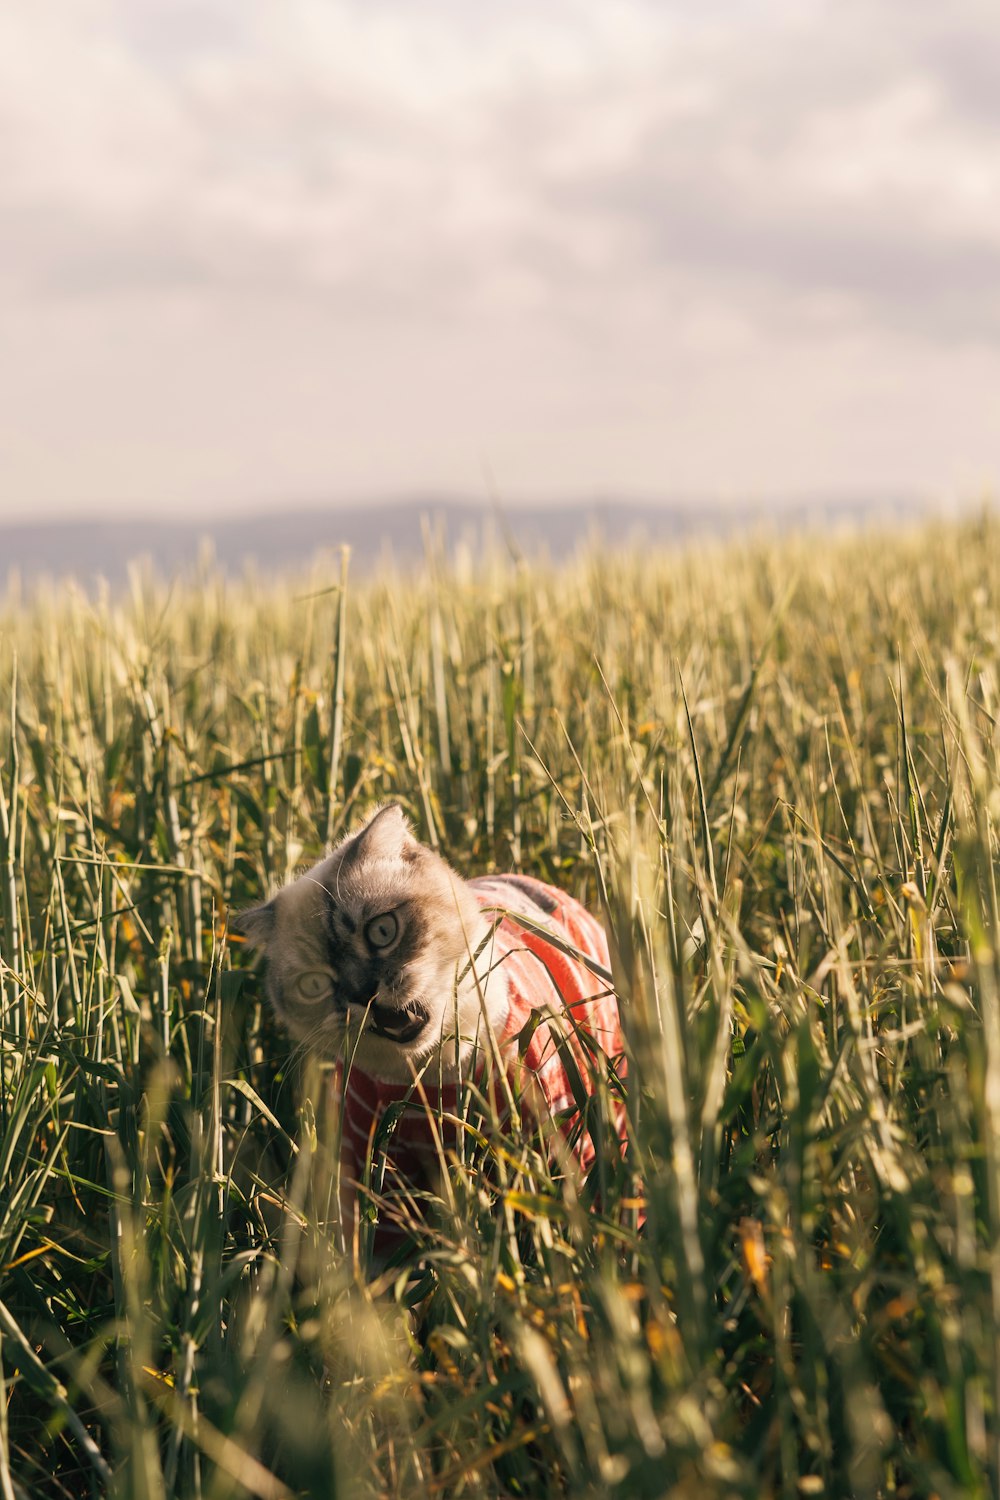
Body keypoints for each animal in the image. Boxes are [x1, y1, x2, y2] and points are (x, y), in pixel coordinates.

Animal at [238, 804, 629, 1248]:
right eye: (314, 984)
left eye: (382, 931)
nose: (363, 993)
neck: (433, 1075)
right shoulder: (380, 1182)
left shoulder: (566, 1150)